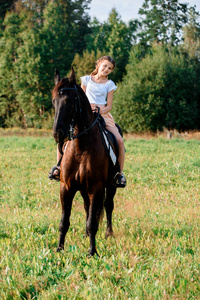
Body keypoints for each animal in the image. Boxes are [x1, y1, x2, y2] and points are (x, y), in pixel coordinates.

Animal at [51, 67, 119, 255]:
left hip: (110, 186)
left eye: (69, 101)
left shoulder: (96, 188)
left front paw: (92, 252)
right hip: (83, 189)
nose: (57, 134)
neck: (81, 148)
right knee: (87, 207)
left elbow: (93, 222)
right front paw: (59, 248)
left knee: (108, 206)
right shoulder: (66, 187)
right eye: (53, 101)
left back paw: (109, 233)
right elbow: (64, 222)